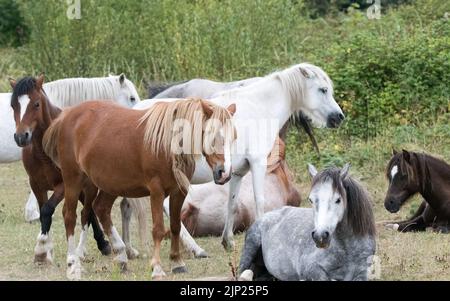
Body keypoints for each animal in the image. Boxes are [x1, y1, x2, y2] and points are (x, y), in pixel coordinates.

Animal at [9, 75, 110, 264]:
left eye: (36, 104)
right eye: (13, 105)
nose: (21, 137)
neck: (44, 150)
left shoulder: (64, 185)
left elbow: (47, 209)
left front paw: (41, 248)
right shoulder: (36, 185)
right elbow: (43, 211)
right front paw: (45, 251)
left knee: (87, 211)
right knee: (89, 211)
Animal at [42, 97, 237, 278]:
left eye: (232, 138)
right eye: (212, 135)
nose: (224, 173)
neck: (167, 144)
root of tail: (67, 115)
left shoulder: (178, 192)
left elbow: (175, 226)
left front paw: (177, 262)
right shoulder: (156, 191)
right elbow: (158, 229)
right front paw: (157, 268)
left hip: (108, 184)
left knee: (100, 209)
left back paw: (121, 255)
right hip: (73, 180)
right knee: (70, 216)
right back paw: (73, 263)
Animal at [134, 62, 344, 248]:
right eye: (323, 90)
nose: (339, 117)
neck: (260, 107)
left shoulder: (237, 171)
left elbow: (232, 204)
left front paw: (228, 241)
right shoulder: (257, 164)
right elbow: (259, 201)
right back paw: (194, 249)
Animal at [239, 163, 376, 280]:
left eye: (338, 200)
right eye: (311, 200)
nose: (320, 236)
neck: (348, 250)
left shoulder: (363, 273)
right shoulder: (311, 268)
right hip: (250, 248)